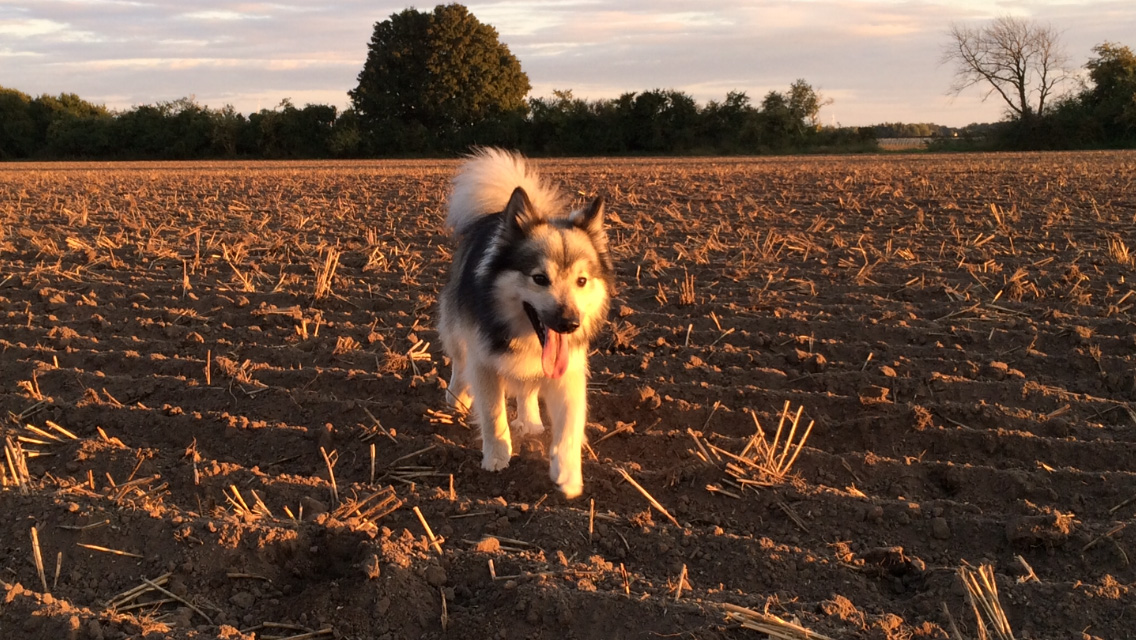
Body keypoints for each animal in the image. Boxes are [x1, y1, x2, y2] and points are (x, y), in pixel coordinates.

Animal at [437, 148, 612, 499]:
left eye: (582, 281)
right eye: (539, 279)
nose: (570, 323)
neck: (527, 336)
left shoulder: (568, 371)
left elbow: (570, 426)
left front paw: (568, 475)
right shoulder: (484, 361)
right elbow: (493, 414)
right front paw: (497, 455)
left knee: (528, 386)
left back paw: (530, 421)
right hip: (457, 330)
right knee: (459, 363)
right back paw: (456, 396)